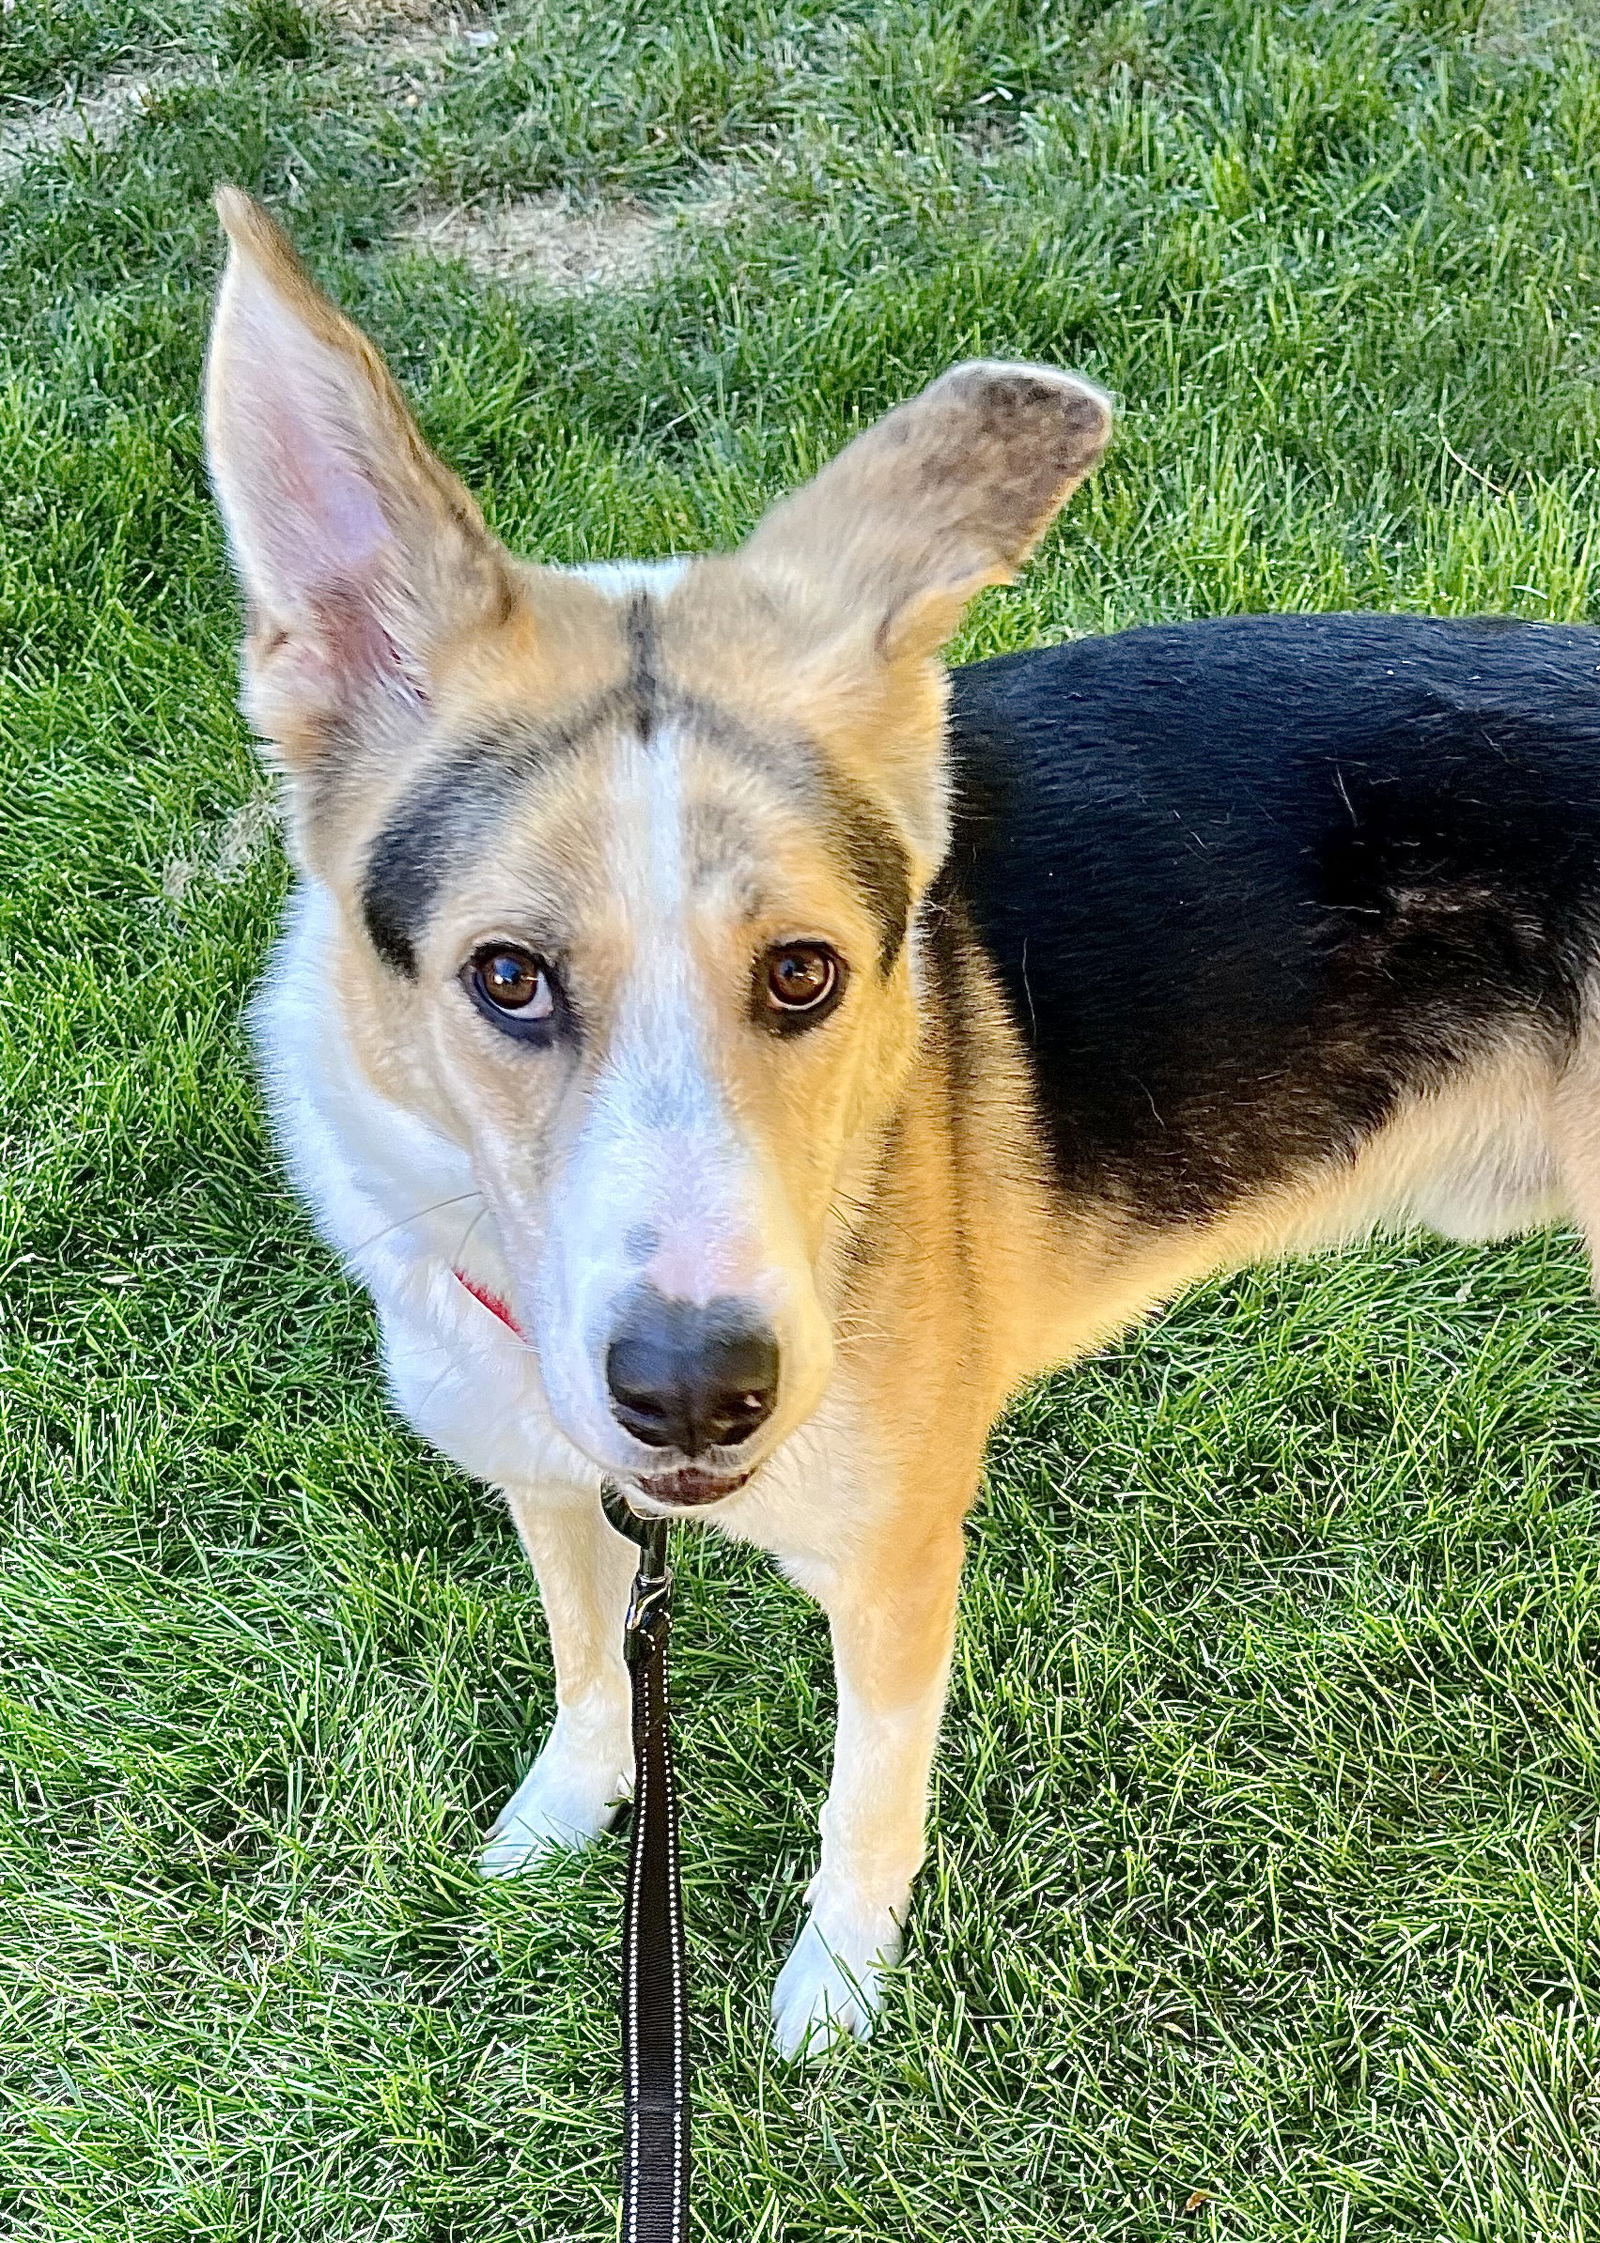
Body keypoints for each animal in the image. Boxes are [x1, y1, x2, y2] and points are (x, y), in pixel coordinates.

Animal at [206, 188, 1597, 2054]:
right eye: (506, 976)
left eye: (804, 973)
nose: (697, 1391)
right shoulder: (552, 1485)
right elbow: (585, 1666)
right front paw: (566, 1811)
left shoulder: (896, 1565)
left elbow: (867, 1797)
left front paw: (836, 1988)